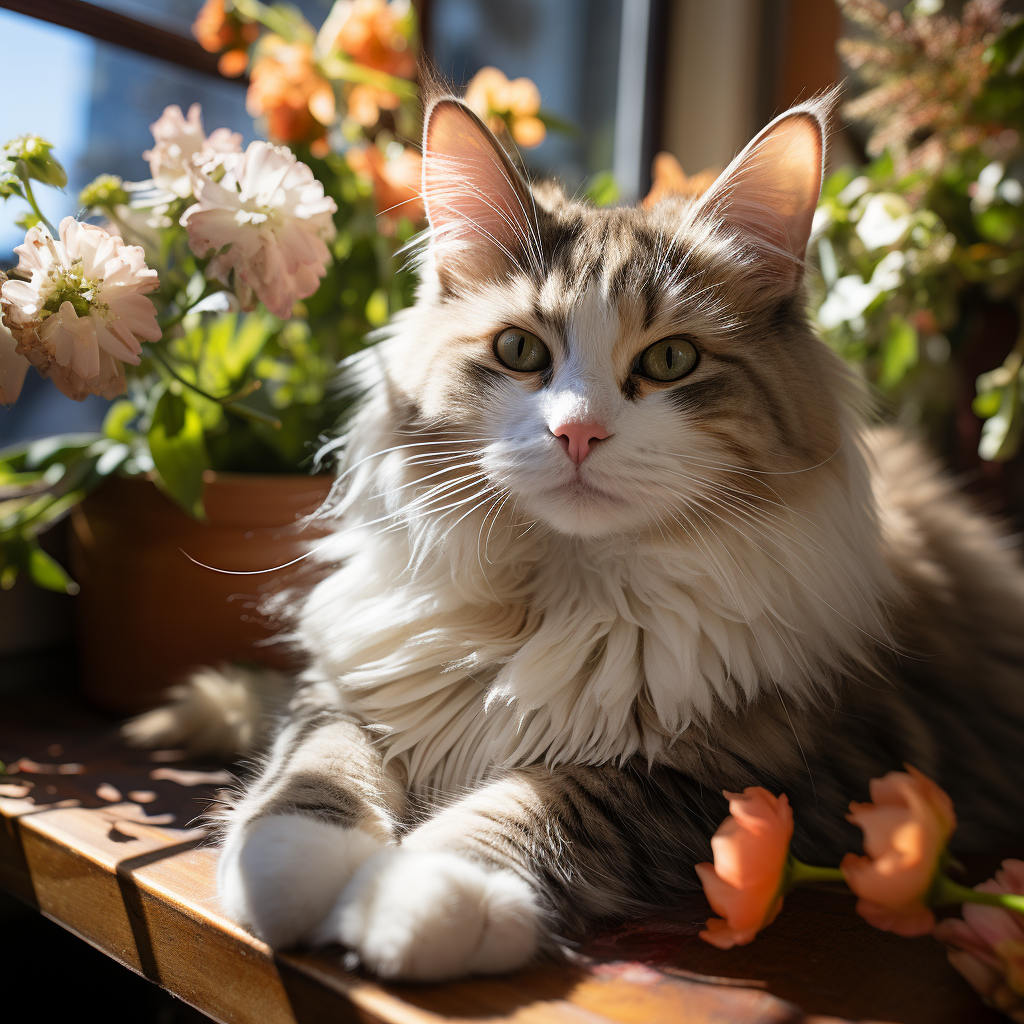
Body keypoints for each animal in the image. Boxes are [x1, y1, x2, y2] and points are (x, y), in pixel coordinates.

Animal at [125, 96, 1024, 983]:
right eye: (519, 350)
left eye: (671, 360)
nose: (578, 433)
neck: (551, 597)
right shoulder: (356, 682)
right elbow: (321, 765)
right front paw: (290, 866)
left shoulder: (748, 777)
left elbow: (545, 801)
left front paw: (425, 895)